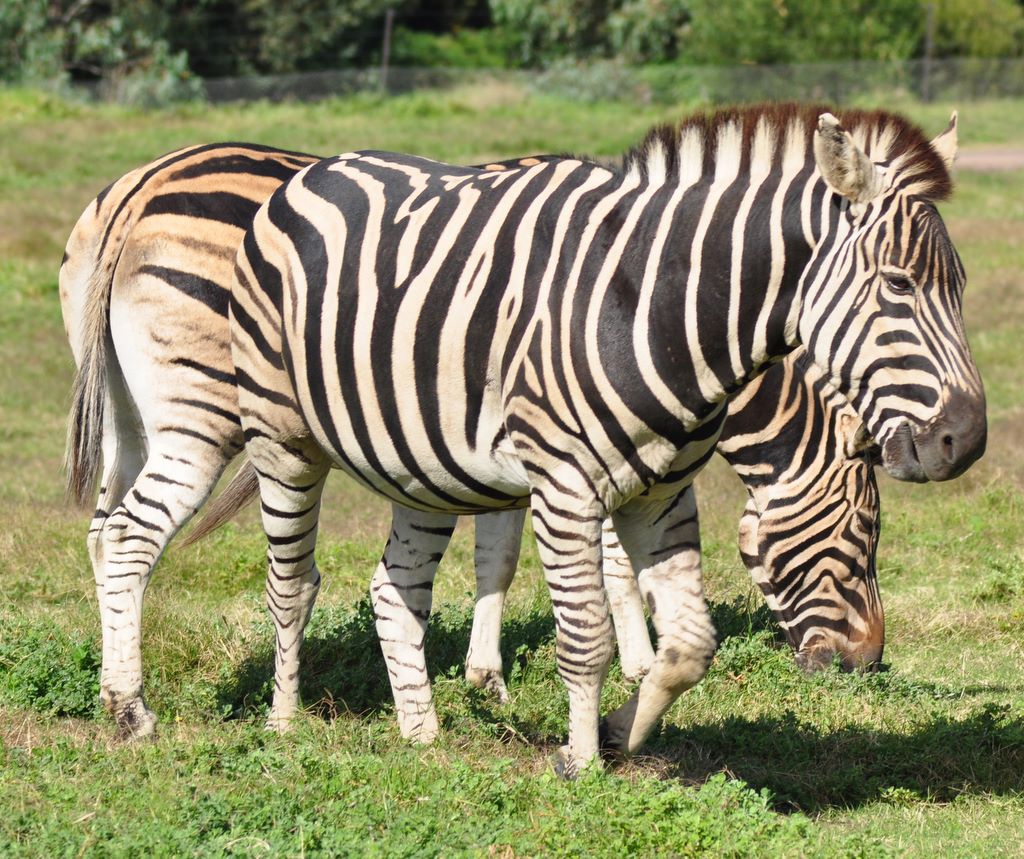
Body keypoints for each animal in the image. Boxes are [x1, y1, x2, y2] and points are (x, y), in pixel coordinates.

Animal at [62, 141, 885, 741]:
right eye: (861, 534)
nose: (871, 665)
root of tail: (140, 187)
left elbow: (498, 555)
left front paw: (487, 676)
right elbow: (602, 558)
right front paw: (631, 662)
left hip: (126, 419)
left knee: (103, 536)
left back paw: (110, 692)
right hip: (200, 410)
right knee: (135, 534)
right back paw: (138, 711)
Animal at [227, 103, 984, 774]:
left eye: (960, 286)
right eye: (898, 284)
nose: (967, 440)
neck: (662, 312)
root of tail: (317, 169)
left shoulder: (663, 493)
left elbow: (691, 645)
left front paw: (622, 731)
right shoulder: (564, 487)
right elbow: (584, 634)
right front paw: (582, 761)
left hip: (420, 465)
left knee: (395, 589)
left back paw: (421, 734)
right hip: (280, 440)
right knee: (291, 585)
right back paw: (284, 723)